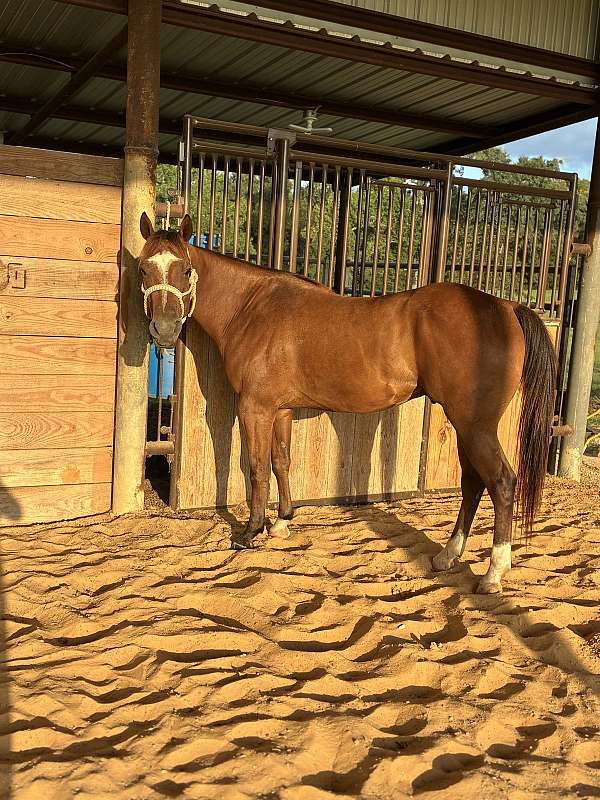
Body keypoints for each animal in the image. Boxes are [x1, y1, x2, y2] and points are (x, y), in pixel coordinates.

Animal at [138, 212, 556, 594]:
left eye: (186, 270)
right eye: (143, 268)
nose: (164, 331)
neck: (253, 308)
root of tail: (506, 306)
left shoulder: (255, 407)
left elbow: (256, 468)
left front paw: (251, 532)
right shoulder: (281, 408)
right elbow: (281, 461)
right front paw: (283, 522)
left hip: (475, 425)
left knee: (500, 482)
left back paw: (492, 574)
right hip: (466, 427)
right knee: (472, 483)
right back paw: (446, 557)